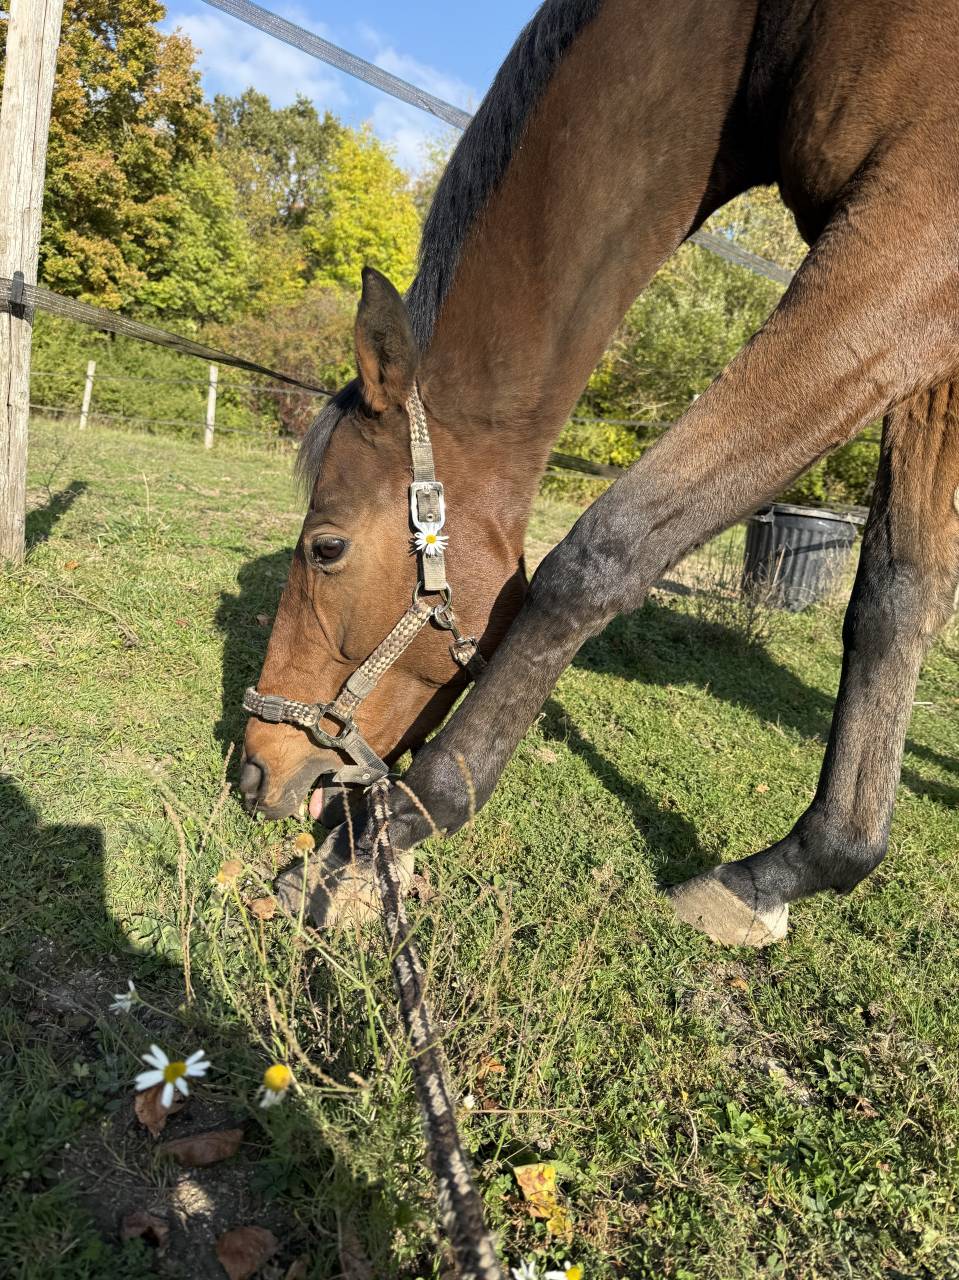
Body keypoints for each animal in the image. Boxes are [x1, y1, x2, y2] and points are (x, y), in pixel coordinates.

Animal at [239, 0, 959, 947]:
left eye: (326, 548)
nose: (250, 770)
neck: (767, 29)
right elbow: (895, 598)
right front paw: (797, 866)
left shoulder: (913, 239)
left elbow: (606, 546)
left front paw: (384, 837)